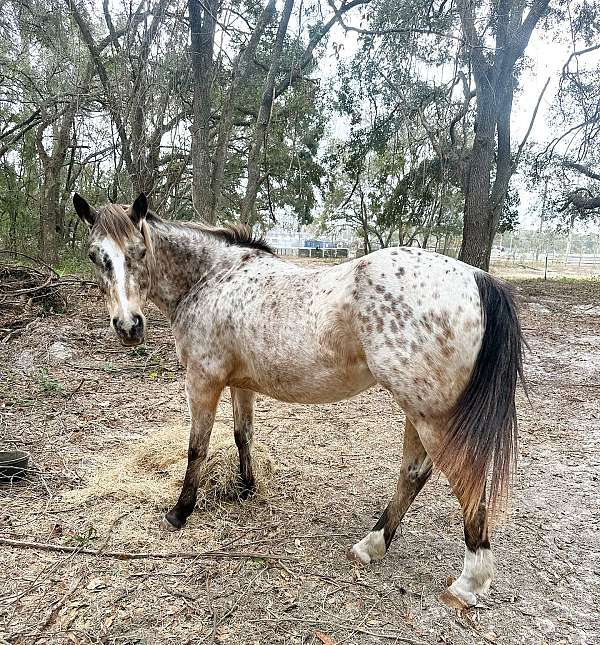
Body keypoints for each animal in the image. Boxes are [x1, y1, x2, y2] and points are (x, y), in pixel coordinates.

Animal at [74, 192, 524, 608]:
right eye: (96, 256)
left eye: (139, 252)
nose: (128, 326)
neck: (211, 279)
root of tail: (476, 278)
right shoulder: (240, 384)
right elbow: (242, 435)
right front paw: (247, 488)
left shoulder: (203, 381)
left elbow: (196, 448)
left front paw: (180, 512)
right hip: (418, 412)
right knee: (413, 475)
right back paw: (371, 545)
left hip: (431, 416)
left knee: (466, 482)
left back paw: (468, 584)